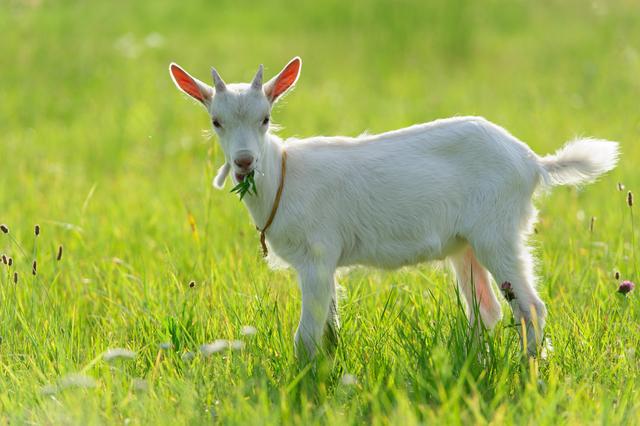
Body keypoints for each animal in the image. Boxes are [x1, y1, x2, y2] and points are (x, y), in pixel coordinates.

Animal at [170, 56, 620, 356]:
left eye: (265, 118)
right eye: (216, 121)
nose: (245, 162)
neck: (282, 175)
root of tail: (532, 163)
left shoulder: (316, 255)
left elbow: (306, 336)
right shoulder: (323, 263)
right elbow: (329, 329)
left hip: (499, 232)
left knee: (530, 308)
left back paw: (530, 373)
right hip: (466, 245)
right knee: (487, 310)